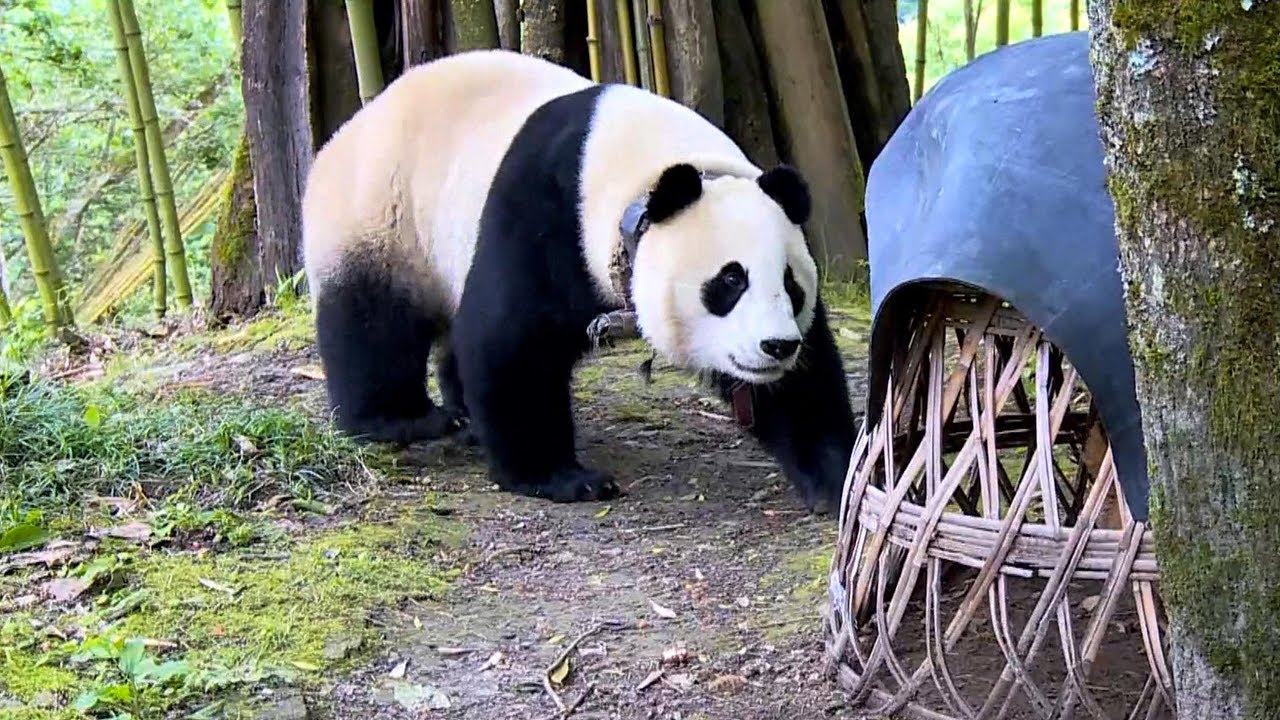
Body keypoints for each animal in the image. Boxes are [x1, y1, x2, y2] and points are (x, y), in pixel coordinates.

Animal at [302, 49, 858, 513]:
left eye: (791, 286)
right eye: (729, 281)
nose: (776, 346)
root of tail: (346, 130)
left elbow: (804, 385)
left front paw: (839, 479)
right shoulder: (546, 211)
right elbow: (510, 341)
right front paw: (564, 478)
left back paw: (463, 415)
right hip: (383, 215)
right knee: (372, 322)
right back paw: (403, 419)